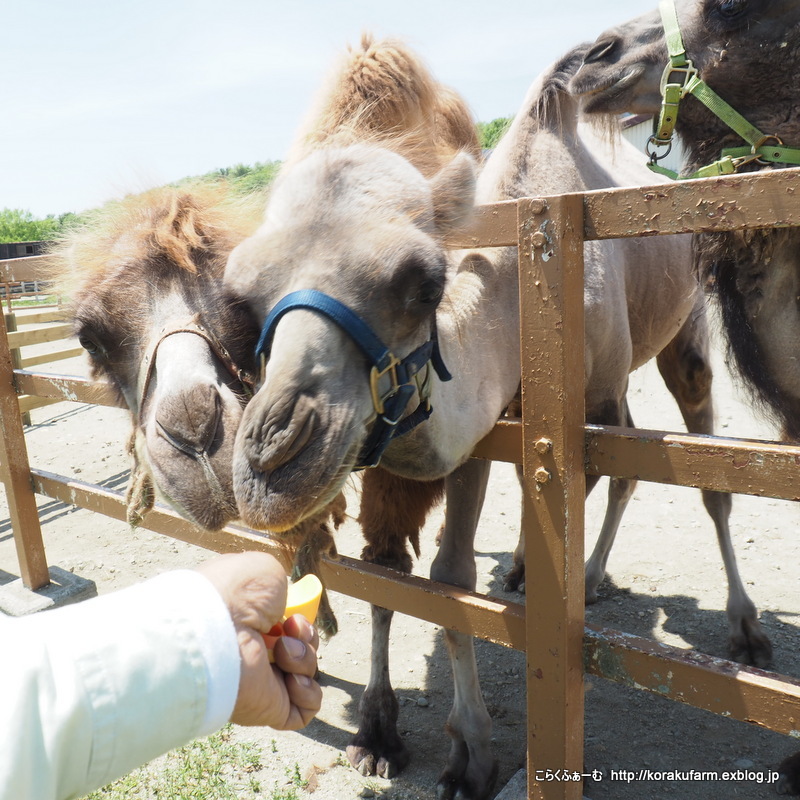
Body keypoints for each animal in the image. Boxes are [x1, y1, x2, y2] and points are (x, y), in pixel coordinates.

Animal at [223, 37, 768, 800]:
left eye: (423, 281)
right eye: (240, 300)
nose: (274, 459)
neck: (517, 290)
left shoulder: (564, 406)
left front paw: (474, 751)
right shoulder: (483, 428)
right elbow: (430, 580)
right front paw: (421, 742)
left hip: (681, 329)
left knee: (700, 472)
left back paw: (740, 627)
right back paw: (555, 574)